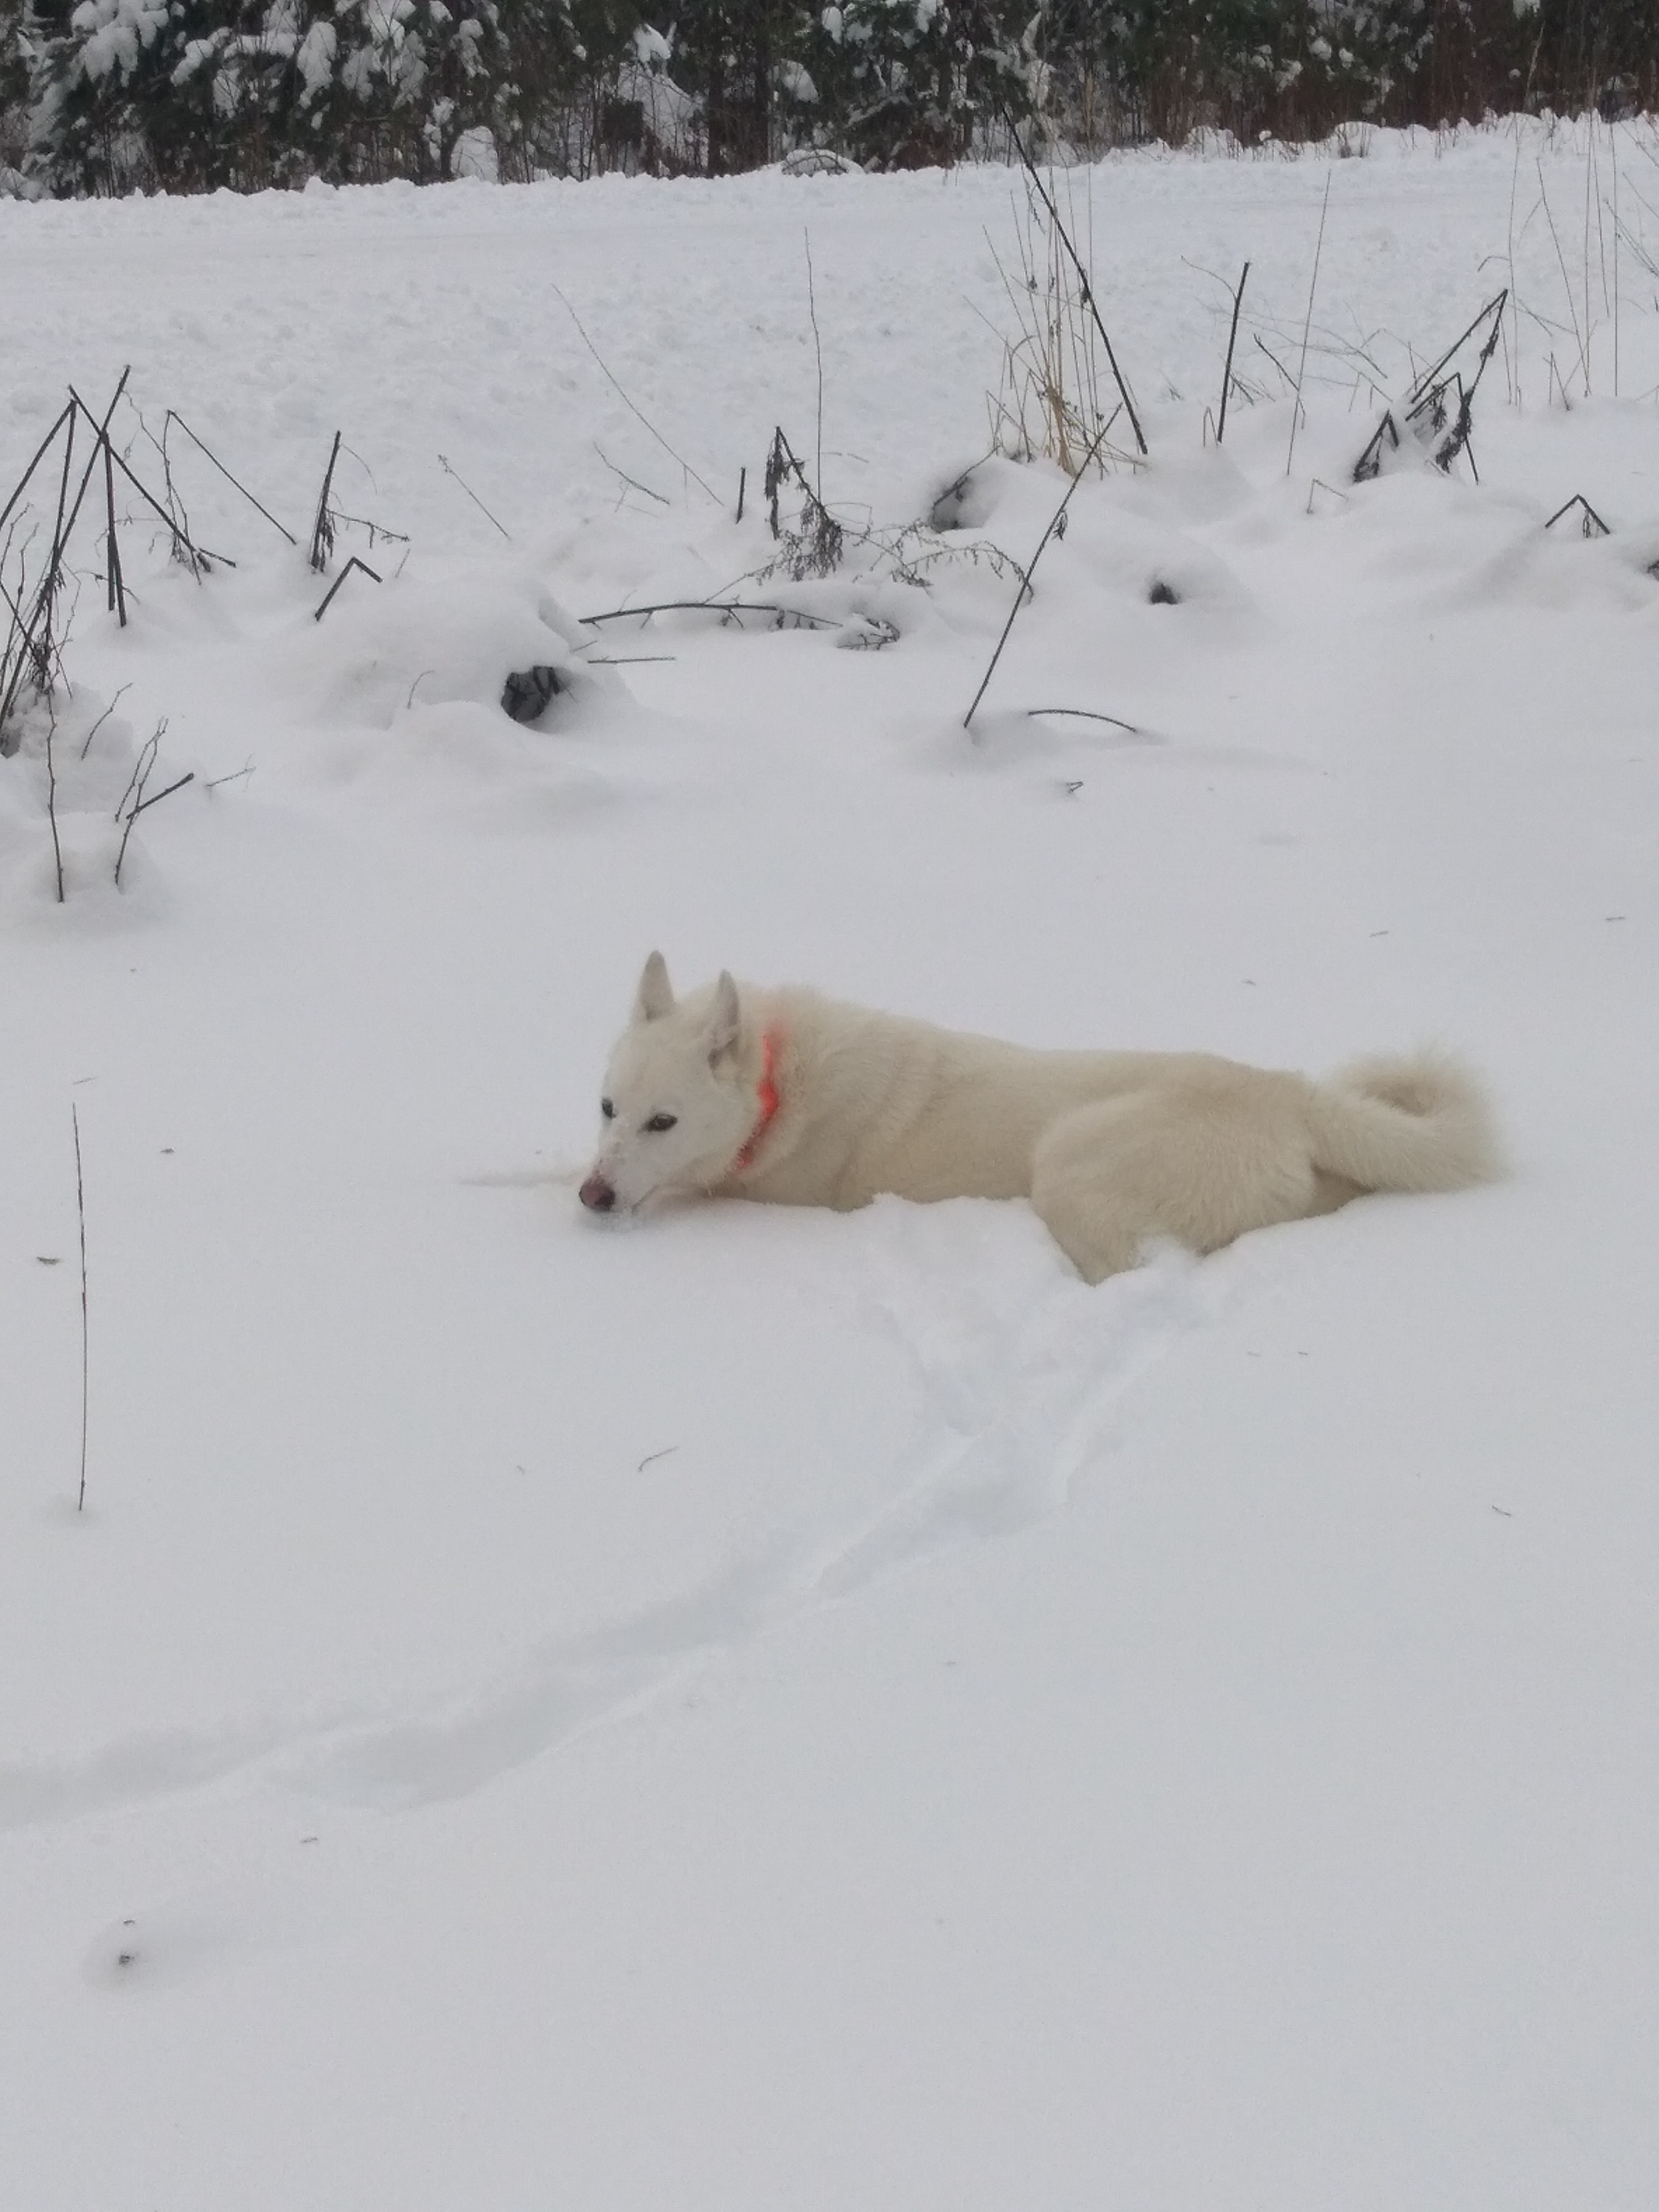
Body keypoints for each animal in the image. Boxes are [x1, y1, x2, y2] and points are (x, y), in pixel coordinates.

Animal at [583, 951, 1503, 1282]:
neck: (781, 1082)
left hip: (1068, 1163)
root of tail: (1286, 1091)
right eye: (607, 1107)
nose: (594, 1200)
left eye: (663, 1122)